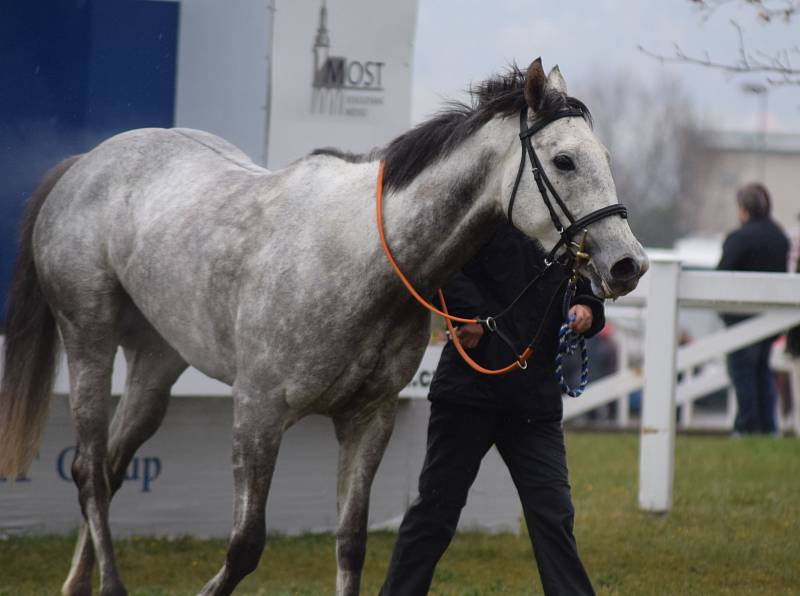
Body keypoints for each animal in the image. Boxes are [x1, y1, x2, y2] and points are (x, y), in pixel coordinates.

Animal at [0, 60, 648, 596]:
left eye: (604, 156)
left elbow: (351, 543)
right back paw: (107, 583)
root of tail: (84, 165)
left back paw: (78, 583)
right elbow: (245, 546)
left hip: (156, 362)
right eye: (564, 160)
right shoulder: (257, 414)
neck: (358, 258)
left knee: (110, 468)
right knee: (87, 469)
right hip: (88, 335)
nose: (628, 264)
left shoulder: (368, 418)